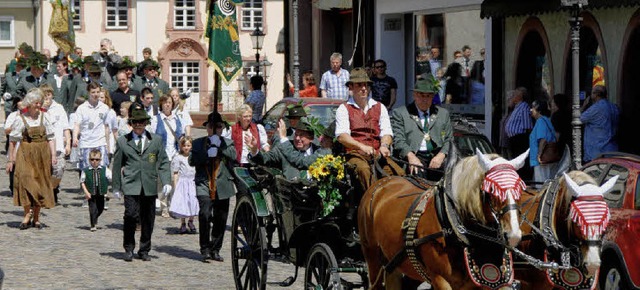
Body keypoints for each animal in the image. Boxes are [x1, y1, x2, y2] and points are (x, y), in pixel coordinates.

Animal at [358, 148, 528, 288]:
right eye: (492, 189)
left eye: (521, 189)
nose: (513, 235)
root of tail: (381, 182)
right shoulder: (441, 279)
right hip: (371, 255)